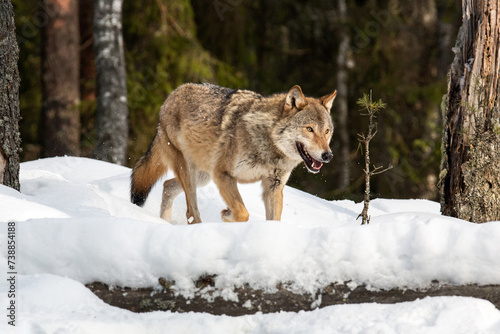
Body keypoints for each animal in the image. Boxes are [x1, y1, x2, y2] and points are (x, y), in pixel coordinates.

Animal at [131, 83, 338, 224]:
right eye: (309, 129)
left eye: (327, 131)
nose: (328, 155)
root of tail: (171, 95)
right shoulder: (222, 175)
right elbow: (242, 212)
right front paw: (227, 215)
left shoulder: (274, 186)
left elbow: (274, 219)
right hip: (192, 173)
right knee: (191, 211)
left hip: (201, 177)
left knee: (167, 185)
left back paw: (165, 222)